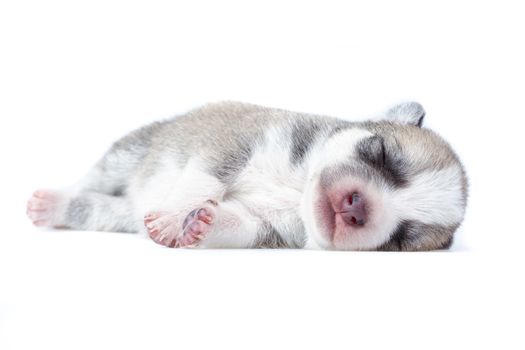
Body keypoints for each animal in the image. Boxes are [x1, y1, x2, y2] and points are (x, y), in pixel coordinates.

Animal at [25, 100, 466, 249]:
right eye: (381, 152)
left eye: (401, 238)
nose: (356, 206)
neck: (297, 190)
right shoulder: (236, 142)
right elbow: (206, 176)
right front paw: (175, 216)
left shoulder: (269, 230)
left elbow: (237, 223)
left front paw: (201, 222)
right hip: (128, 152)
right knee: (91, 179)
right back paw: (51, 197)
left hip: (117, 216)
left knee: (92, 208)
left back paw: (56, 208)